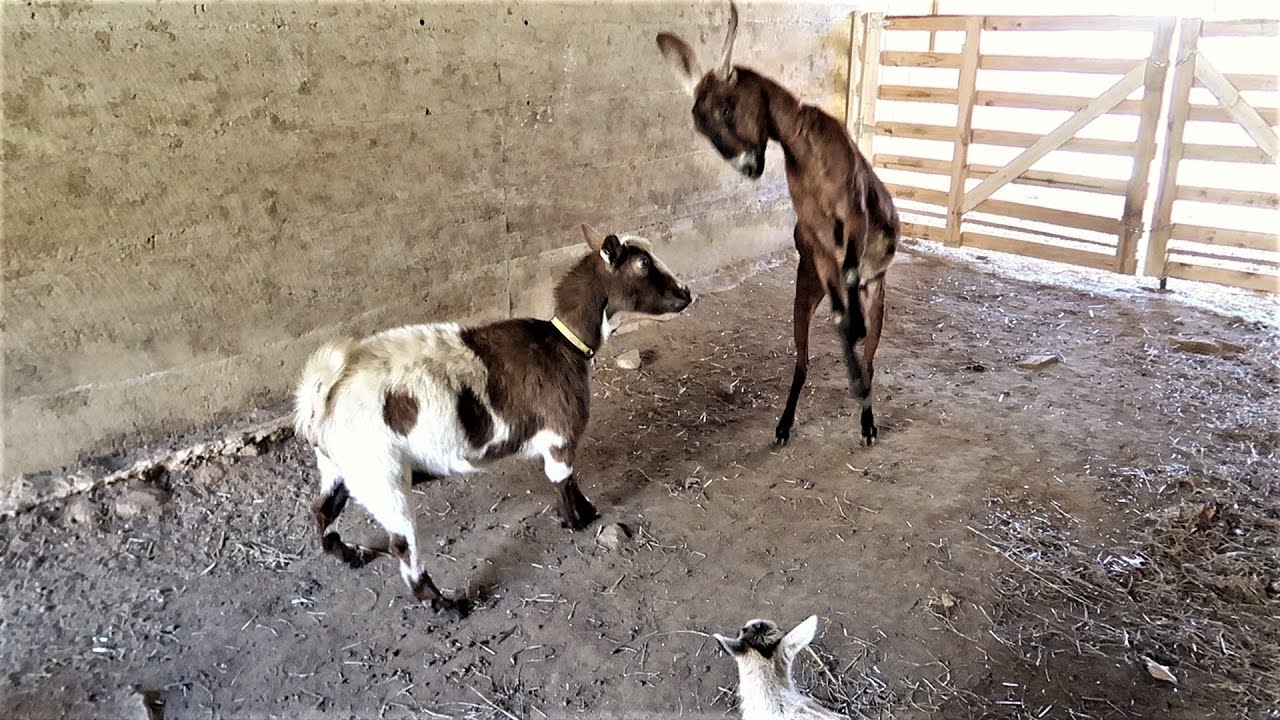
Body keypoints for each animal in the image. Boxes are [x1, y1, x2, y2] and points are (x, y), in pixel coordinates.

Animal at [293, 225, 693, 617]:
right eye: (643, 264)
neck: (562, 344)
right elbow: (562, 479)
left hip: (341, 466)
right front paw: (577, 520)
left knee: (323, 509)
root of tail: (324, 393)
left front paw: (587, 512)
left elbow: (568, 479)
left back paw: (351, 555)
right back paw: (445, 604)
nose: (686, 293)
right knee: (401, 543)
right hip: (382, 474)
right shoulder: (559, 432)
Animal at [657, 1, 900, 447]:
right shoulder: (817, 239)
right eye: (700, 126)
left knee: (871, 352)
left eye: (727, 108)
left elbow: (852, 278)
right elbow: (838, 312)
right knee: (805, 358)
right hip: (805, 290)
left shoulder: (855, 213)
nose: (748, 166)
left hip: (879, 294)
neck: (807, 150)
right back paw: (788, 423)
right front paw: (850, 351)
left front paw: (857, 348)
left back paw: (867, 419)